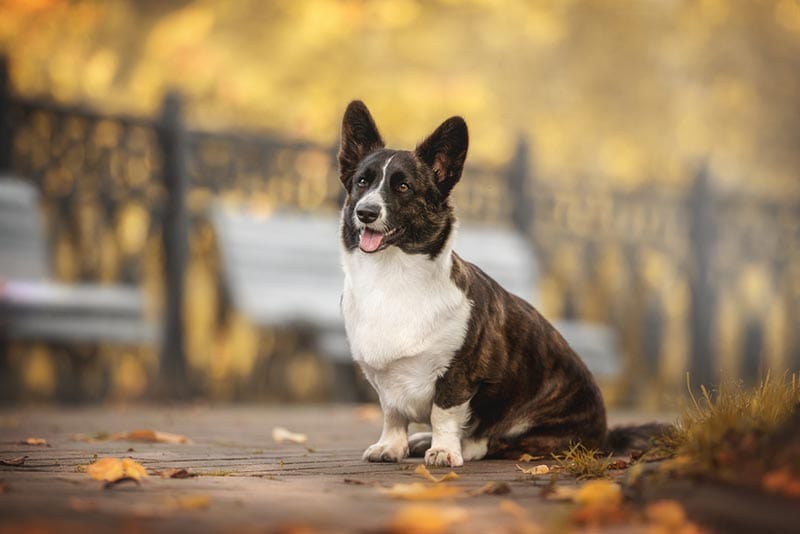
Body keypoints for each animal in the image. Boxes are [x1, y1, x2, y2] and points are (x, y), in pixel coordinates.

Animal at [338, 101, 656, 468]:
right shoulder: (384, 380)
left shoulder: (458, 375)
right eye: (362, 182)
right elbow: (392, 414)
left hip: (533, 429)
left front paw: (444, 451)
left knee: (494, 442)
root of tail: (605, 436)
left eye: (403, 187)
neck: (391, 277)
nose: (366, 212)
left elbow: (443, 414)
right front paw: (390, 447)